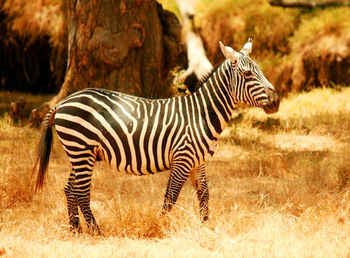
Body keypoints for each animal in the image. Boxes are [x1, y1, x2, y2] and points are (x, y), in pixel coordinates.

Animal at [32, 38, 278, 234]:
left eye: (260, 71)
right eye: (247, 74)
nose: (276, 102)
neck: (200, 114)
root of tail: (63, 102)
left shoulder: (198, 162)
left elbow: (204, 194)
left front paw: (205, 226)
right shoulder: (183, 159)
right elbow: (171, 197)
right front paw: (161, 226)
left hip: (80, 153)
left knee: (70, 189)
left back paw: (75, 230)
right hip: (81, 149)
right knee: (81, 192)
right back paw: (96, 231)